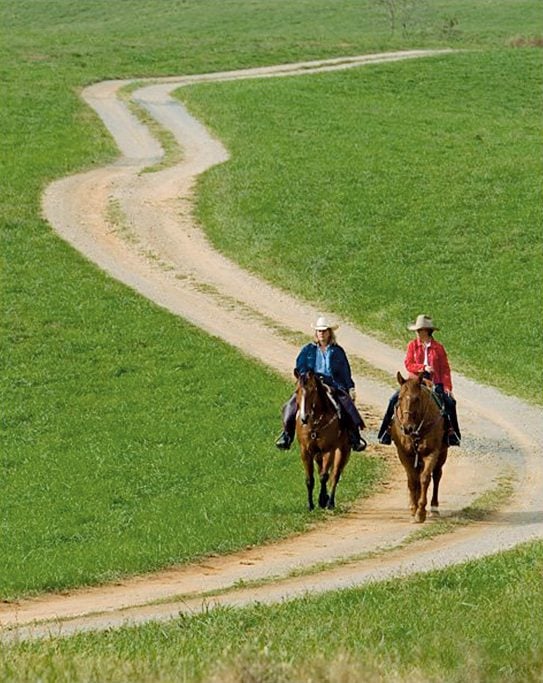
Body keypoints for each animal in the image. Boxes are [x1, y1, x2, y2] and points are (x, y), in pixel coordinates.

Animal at [296, 372, 350, 510]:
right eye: (297, 391)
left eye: (312, 391)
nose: (304, 418)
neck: (315, 423)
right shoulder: (305, 451)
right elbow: (309, 479)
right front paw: (310, 505)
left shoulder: (328, 450)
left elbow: (324, 476)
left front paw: (322, 500)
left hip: (342, 450)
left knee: (335, 474)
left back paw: (330, 502)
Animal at [392, 374, 450, 524]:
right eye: (400, 398)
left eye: (417, 399)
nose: (407, 428)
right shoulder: (404, 454)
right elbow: (413, 480)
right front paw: (414, 508)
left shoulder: (432, 453)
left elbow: (425, 478)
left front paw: (421, 512)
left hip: (442, 455)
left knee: (437, 476)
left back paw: (434, 508)